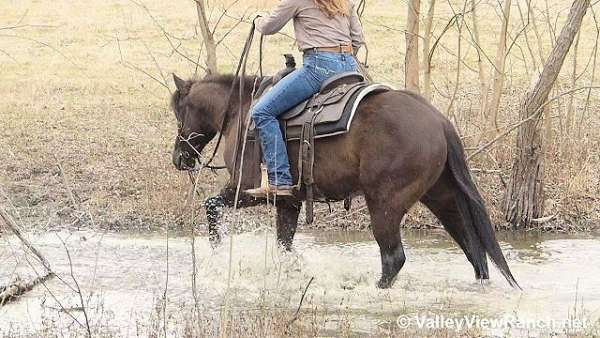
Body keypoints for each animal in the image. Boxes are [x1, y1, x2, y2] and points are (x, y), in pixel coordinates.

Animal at [171, 73, 516, 288]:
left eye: (179, 113)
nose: (179, 157)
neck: (242, 113)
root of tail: (439, 121)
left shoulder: (247, 189)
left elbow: (211, 206)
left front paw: (217, 251)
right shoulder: (288, 201)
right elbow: (284, 245)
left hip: (384, 205)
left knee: (393, 258)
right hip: (441, 198)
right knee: (473, 249)